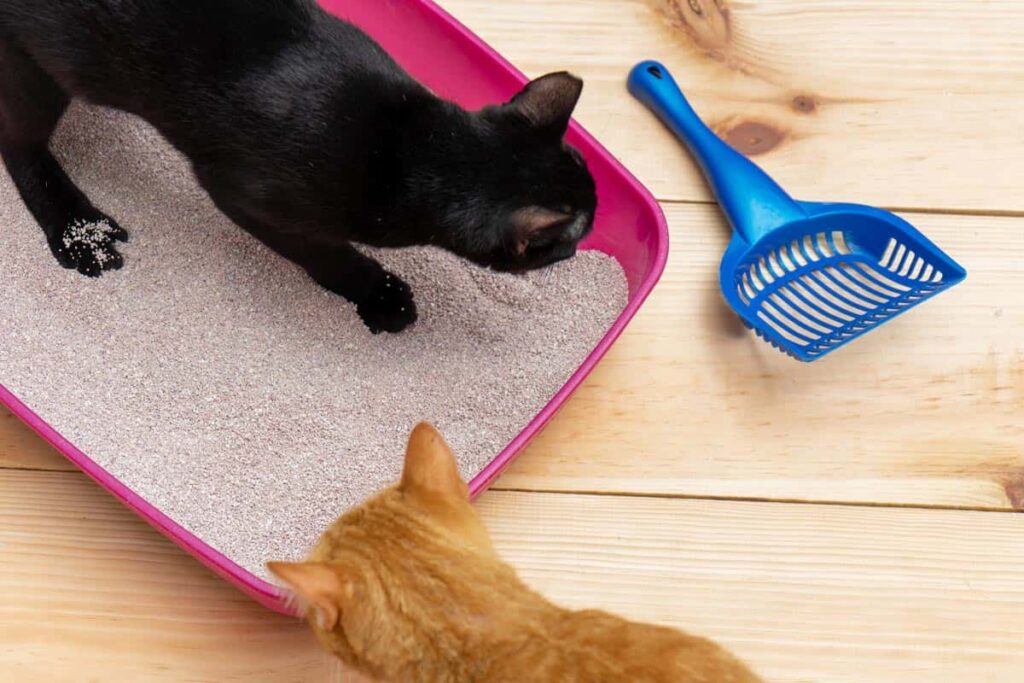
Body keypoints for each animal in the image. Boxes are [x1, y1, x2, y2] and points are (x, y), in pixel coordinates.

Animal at [0, 0, 598, 331]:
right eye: (563, 243)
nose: (577, 250)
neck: (415, 145)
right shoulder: (249, 199)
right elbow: (328, 255)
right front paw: (381, 294)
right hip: (37, 70)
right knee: (20, 145)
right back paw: (79, 230)